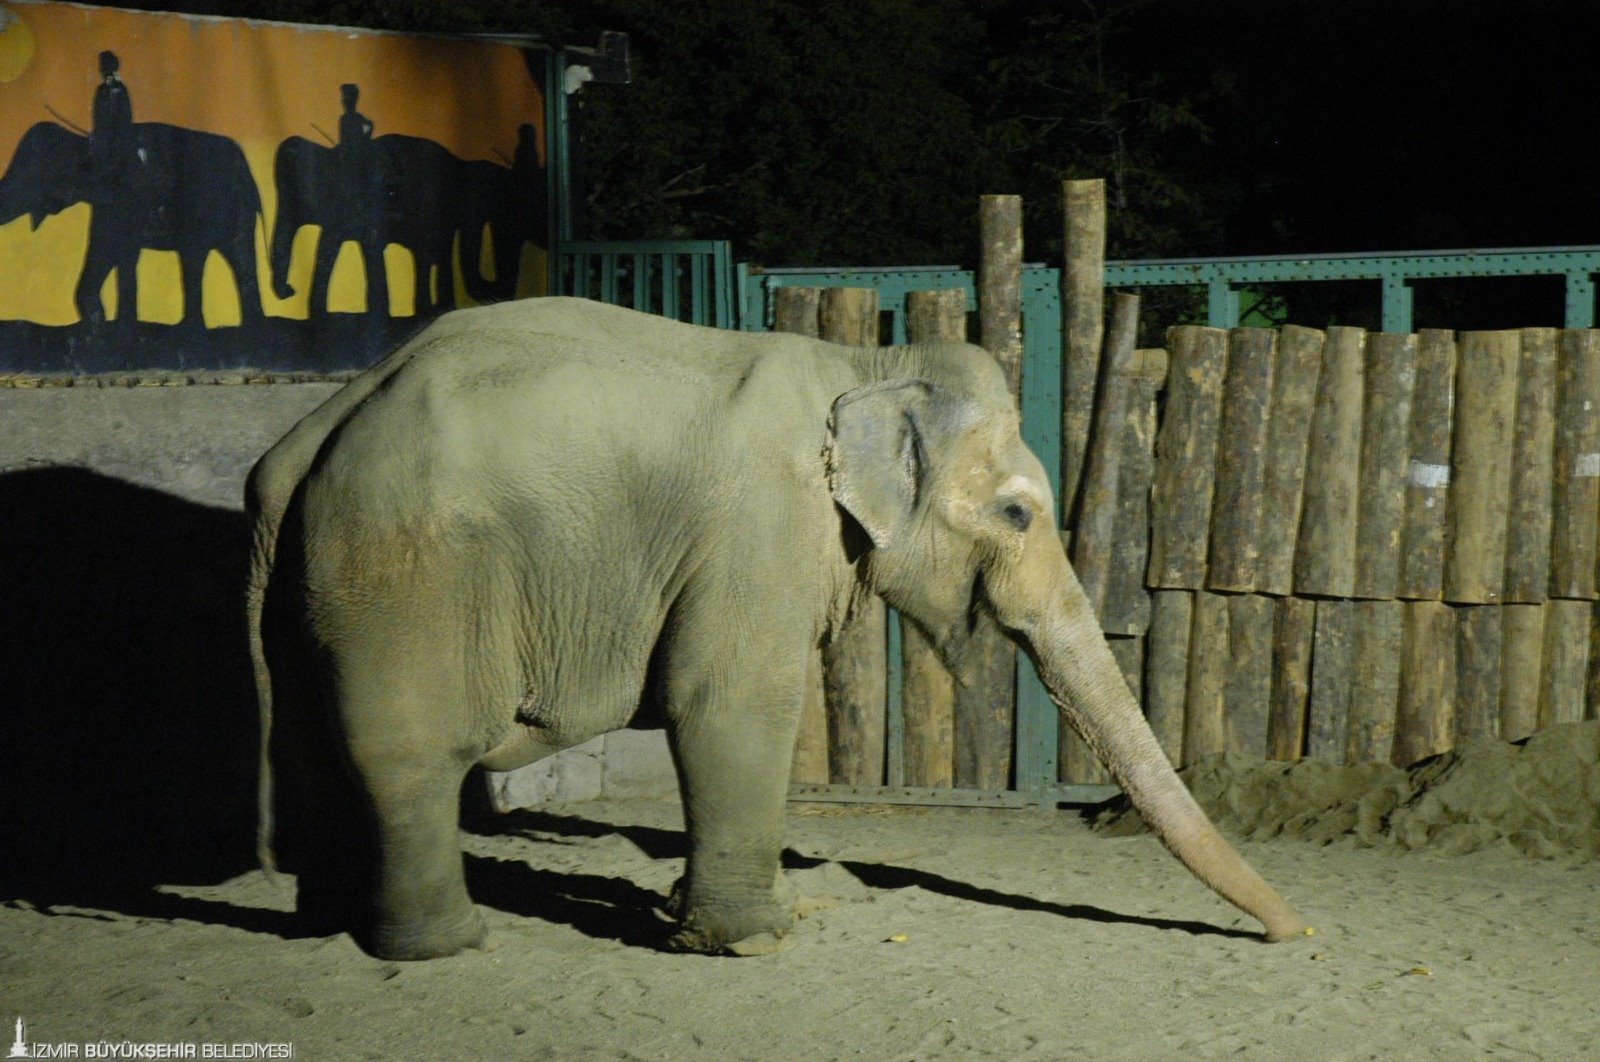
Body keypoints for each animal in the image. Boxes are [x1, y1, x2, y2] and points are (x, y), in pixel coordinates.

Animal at [0, 121, 264, 328]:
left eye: (38, 172)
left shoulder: (130, 197)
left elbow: (125, 252)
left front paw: (120, 324)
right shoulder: (108, 207)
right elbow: (105, 248)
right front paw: (98, 321)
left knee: (198, 255)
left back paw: (191, 328)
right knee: (240, 256)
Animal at [248, 297, 1304, 961]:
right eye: (1016, 513)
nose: (1296, 932)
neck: (868, 368)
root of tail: (306, 443)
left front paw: (725, 912)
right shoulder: (761, 523)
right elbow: (729, 700)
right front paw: (753, 941)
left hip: (311, 589)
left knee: (313, 751)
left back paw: (332, 924)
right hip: (405, 577)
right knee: (408, 759)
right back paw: (446, 946)